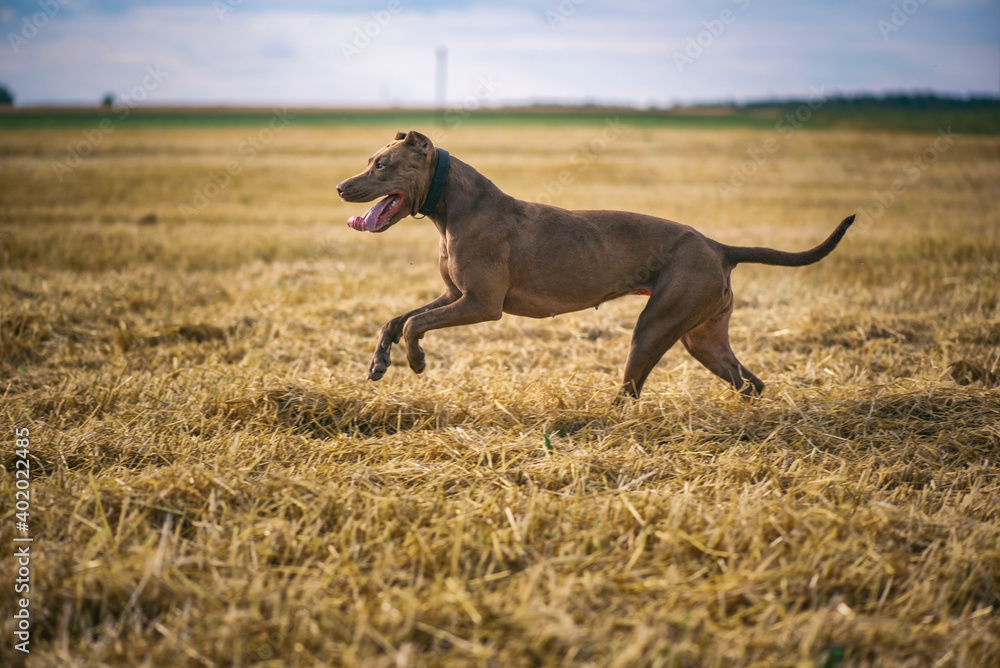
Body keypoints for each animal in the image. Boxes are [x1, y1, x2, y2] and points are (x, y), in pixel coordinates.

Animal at [338, 132, 852, 402]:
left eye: (382, 165)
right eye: (370, 160)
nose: (341, 187)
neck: (452, 204)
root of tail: (717, 246)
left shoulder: (481, 304)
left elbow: (414, 324)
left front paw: (416, 360)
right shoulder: (454, 296)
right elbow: (396, 320)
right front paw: (380, 362)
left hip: (656, 325)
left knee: (632, 388)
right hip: (702, 336)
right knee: (749, 382)